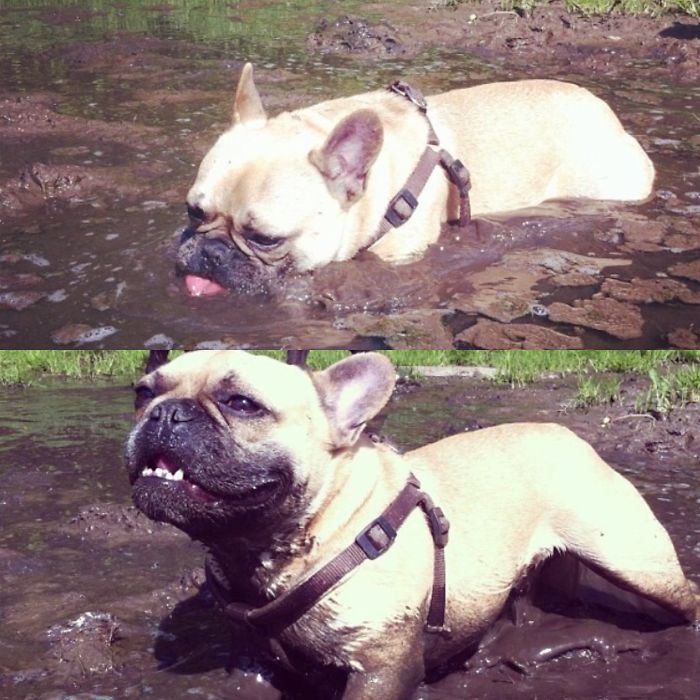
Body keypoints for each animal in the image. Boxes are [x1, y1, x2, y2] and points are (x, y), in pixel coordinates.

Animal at [124, 352, 696, 696]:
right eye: (141, 392)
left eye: (241, 403)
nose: (165, 412)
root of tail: (568, 436)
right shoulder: (254, 658)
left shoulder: (382, 666)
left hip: (633, 560)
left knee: (683, 596)